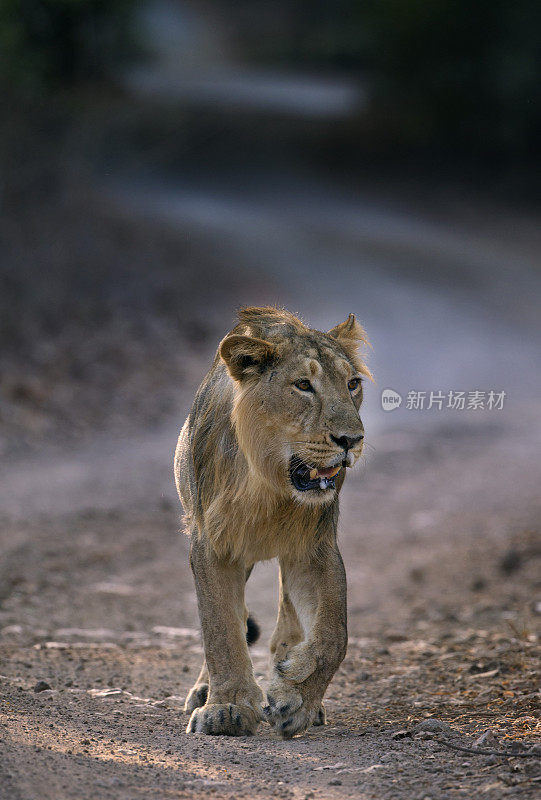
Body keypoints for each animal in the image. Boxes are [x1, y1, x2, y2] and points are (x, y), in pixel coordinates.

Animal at [175, 304, 370, 736]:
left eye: (352, 384)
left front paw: (294, 698)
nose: (351, 440)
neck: (269, 481)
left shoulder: (315, 547)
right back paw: (205, 690)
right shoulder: (212, 544)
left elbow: (334, 636)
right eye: (303, 385)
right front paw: (226, 709)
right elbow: (220, 629)